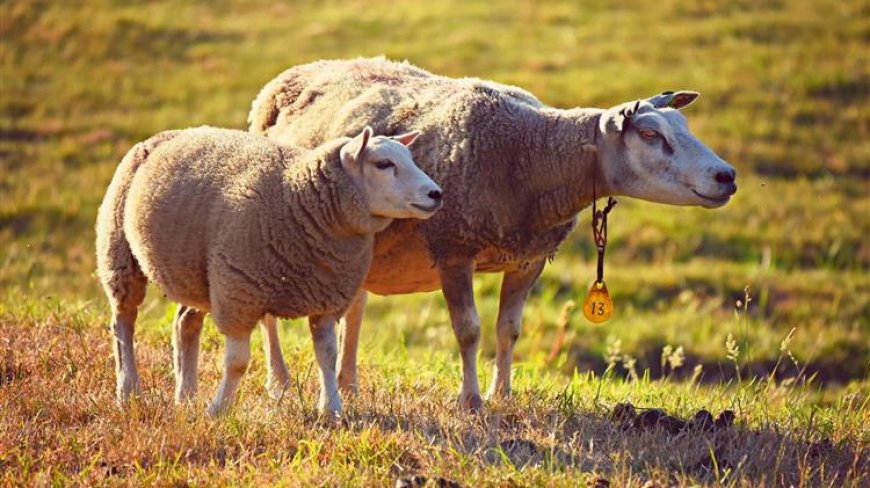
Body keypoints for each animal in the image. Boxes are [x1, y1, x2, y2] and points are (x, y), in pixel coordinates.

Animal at [96, 126, 446, 416]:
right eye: (384, 164)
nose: (436, 194)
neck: (298, 196)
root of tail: (163, 136)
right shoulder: (239, 293)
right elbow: (238, 363)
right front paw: (218, 410)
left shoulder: (327, 297)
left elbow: (327, 356)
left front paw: (332, 410)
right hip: (119, 253)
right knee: (123, 323)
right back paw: (128, 391)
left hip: (196, 273)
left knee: (185, 324)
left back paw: (186, 397)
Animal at [249, 57, 740, 412]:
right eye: (650, 134)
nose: (727, 176)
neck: (530, 155)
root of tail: (294, 72)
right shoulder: (453, 247)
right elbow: (468, 331)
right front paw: (470, 400)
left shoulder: (529, 258)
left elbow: (509, 330)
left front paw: (502, 394)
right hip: (274, 227)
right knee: (271, 313)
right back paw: (280, 383)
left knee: (355, 308)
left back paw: (348, 384)